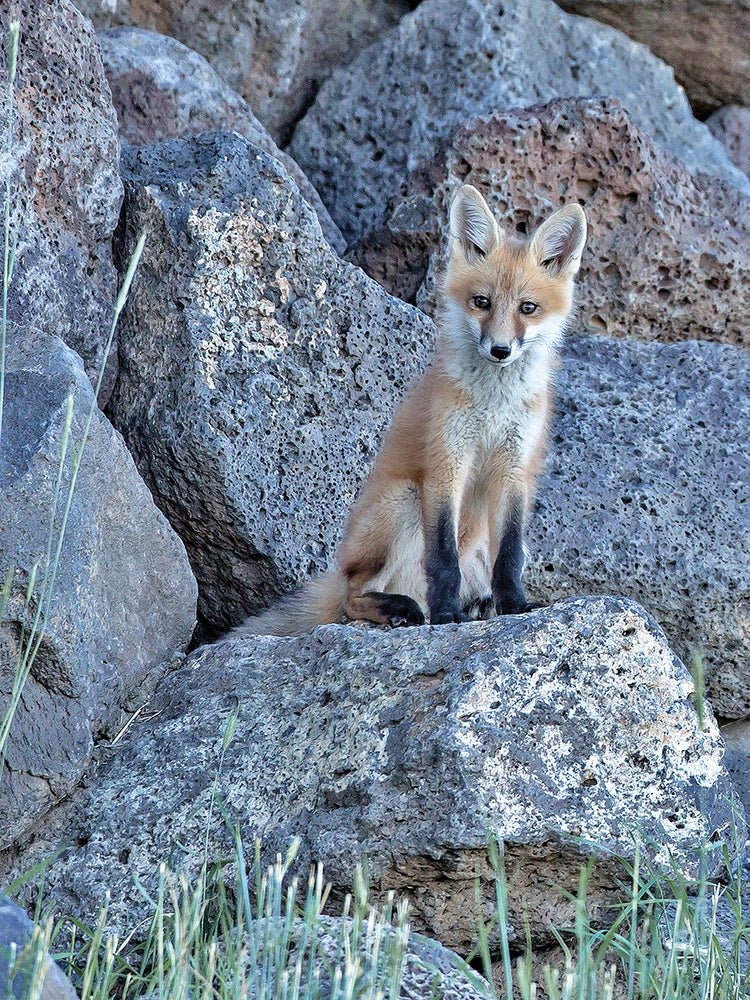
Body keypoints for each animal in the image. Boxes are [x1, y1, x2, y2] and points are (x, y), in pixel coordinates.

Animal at [233, 185, 586, 637]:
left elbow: (508, 558)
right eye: (482, 302)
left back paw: (472, 606)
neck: (494, 405)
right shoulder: (445, 463)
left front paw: (515, 606)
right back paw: (402, 608)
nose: (500, 350)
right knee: (351, 598)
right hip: (402, 502)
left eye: (528, 308)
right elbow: (443, 559)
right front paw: (447, 615)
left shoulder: (514, 471)